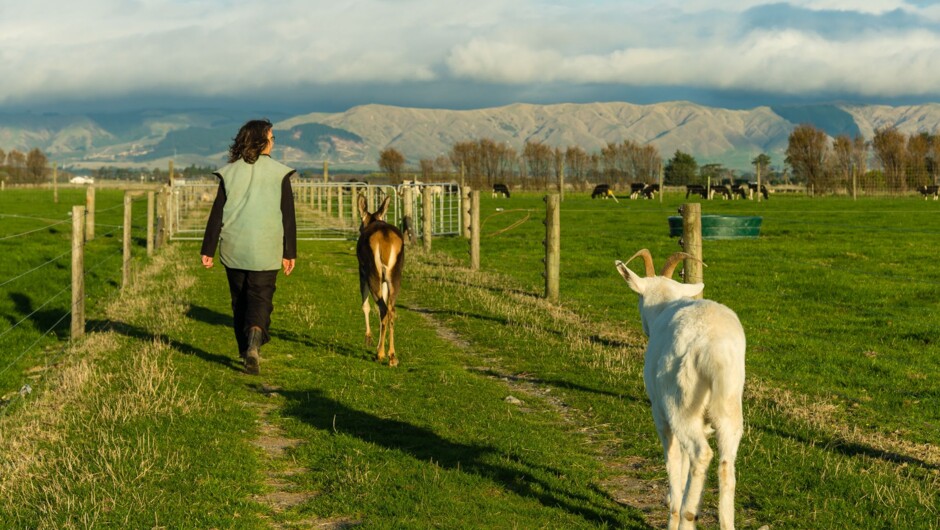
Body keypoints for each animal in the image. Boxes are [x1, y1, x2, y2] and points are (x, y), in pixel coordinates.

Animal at [356, 196, 404, 366]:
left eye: (360, 223)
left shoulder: (362, 271)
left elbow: (365, 305)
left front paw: (369, 339)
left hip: (372, 272)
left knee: (383, 308)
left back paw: (381, 354)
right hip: (394, 275)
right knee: (391, 309)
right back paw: (392, 355)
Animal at [612, 249, 744, 528]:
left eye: (639, 296)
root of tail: (712, 349)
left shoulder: (660, 415)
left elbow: (674, 462)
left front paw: (672, 510)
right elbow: (683, 463)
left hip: (680, 406)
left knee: (701, 454)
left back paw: (685, 517)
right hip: (729, 406)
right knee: (726, 464)